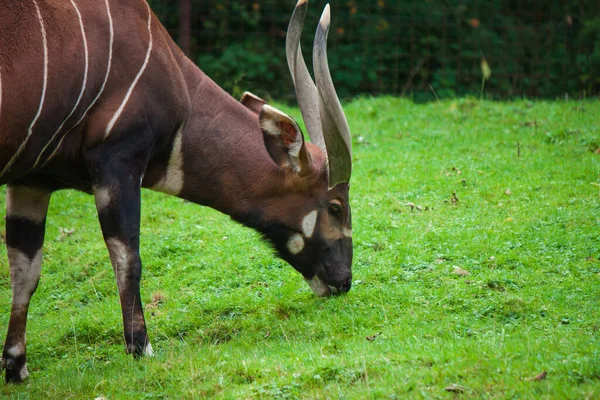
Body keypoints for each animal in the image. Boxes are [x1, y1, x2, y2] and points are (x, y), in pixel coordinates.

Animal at [0, 0, 352, 382]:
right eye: (335, 207)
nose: (345, 280)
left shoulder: (32, 181)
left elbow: (25, 270)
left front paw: (16, 367)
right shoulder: (117, 163)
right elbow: (128, 258)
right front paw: (141, 348)